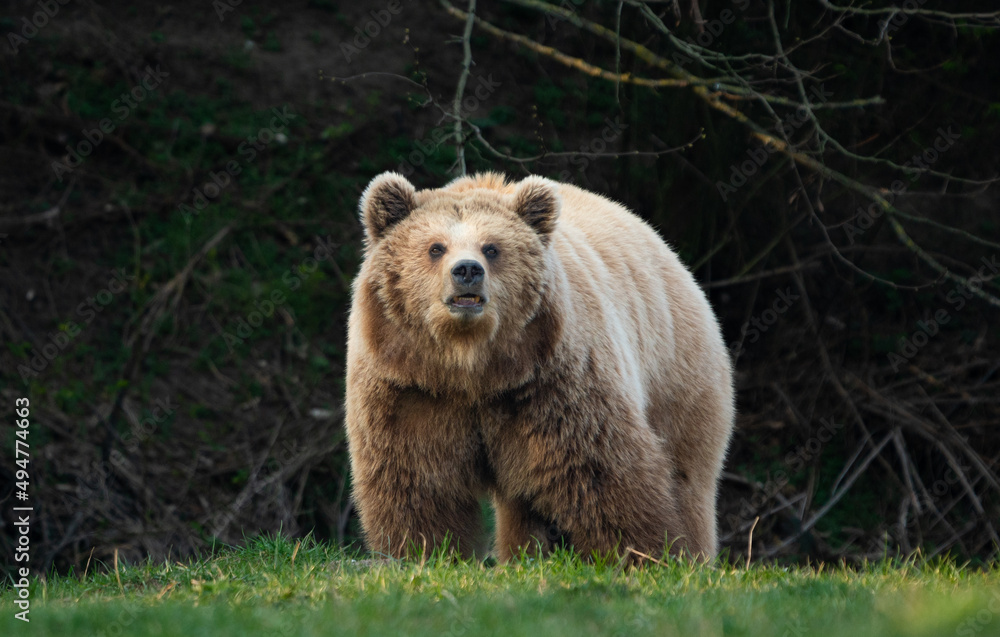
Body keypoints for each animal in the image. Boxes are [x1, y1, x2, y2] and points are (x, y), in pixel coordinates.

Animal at [345, 171, 734, 562]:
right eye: (436, 247)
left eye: (492, 248)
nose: (467, 270)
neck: (471, 367)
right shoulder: (410, 386)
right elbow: (418, 477)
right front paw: (424, 550)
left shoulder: (552, 382)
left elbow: (599, 467)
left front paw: (643, 552)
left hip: (675, 371)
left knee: (687, 474)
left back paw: (694, 552)